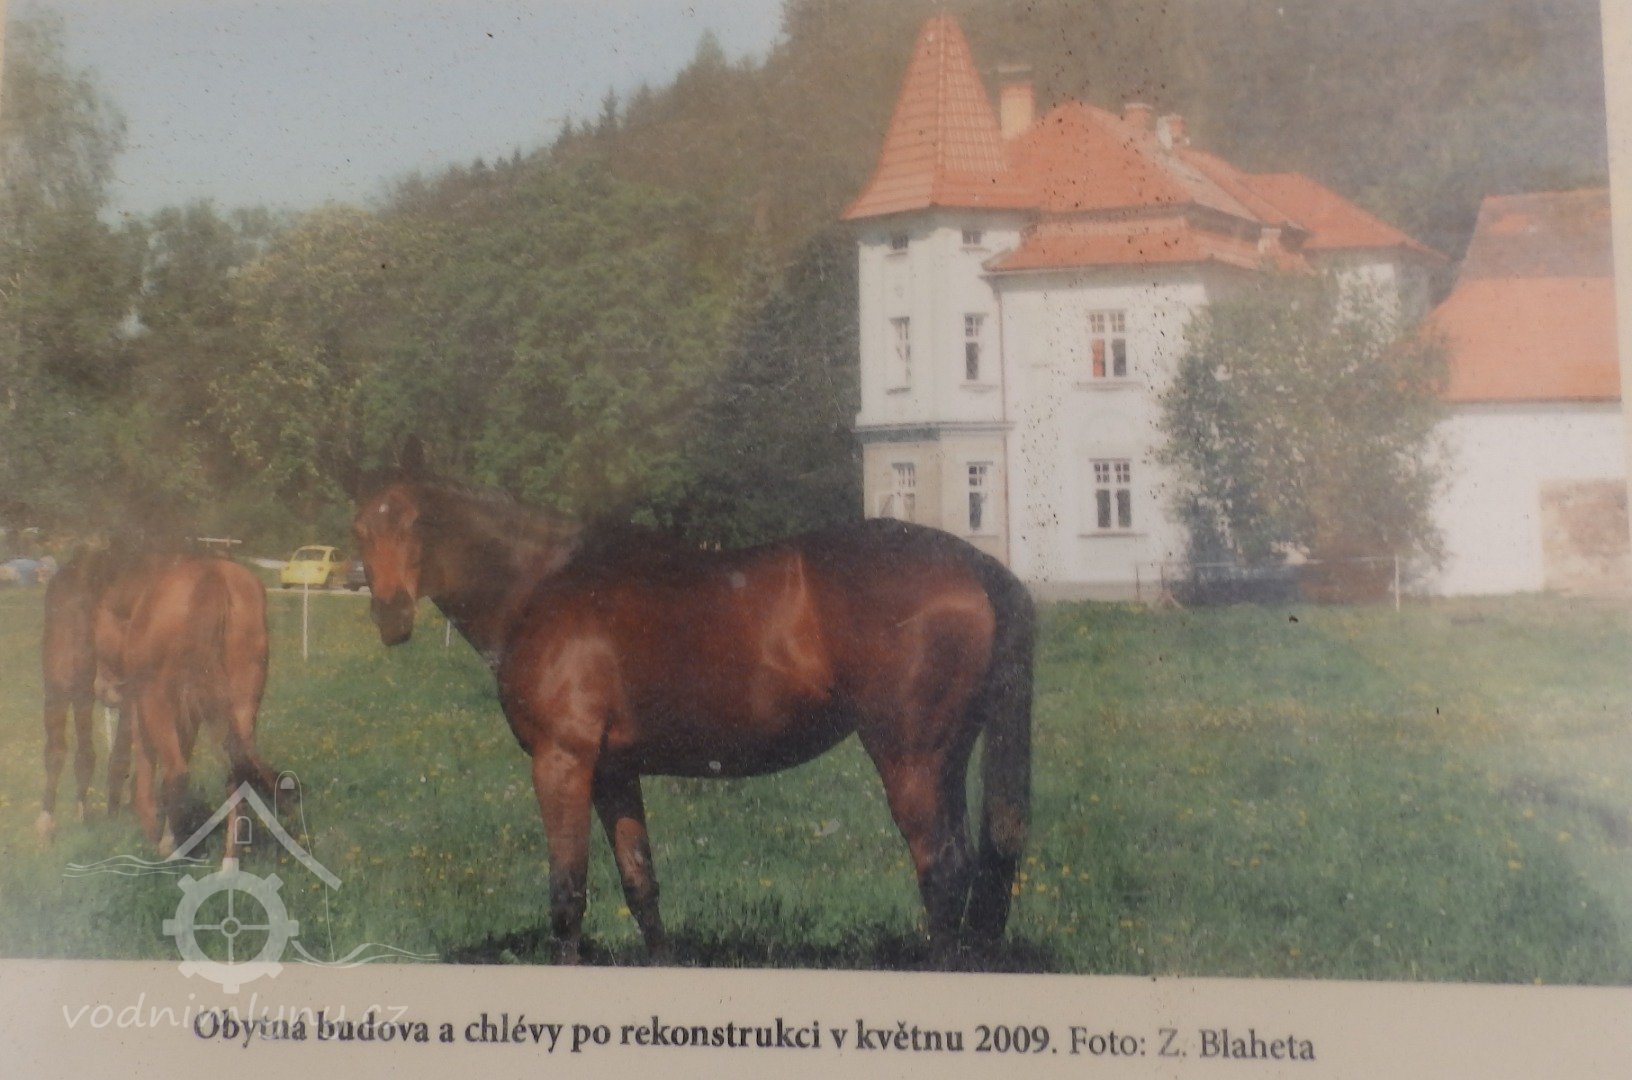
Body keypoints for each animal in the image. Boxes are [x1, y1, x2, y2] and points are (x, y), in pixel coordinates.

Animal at [106, 556, 278, 857]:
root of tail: (212, 574)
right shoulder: (190, 714)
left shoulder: (143, 709)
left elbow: (145, 774)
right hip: (243, 704)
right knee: (237, 770)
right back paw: (227, 861)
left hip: (157, 702)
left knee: (176, 772)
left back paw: (170, 850)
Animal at [350, 443, 1034, 963]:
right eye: (359, 528)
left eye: (415, 522)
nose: (389, 615)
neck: (541, 586)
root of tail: (972, 564)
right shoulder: (614, 772)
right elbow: (640, 883)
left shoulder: (562, 762)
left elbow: (568, 893)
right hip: (944, 760)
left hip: (910, 759)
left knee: (942, 872)